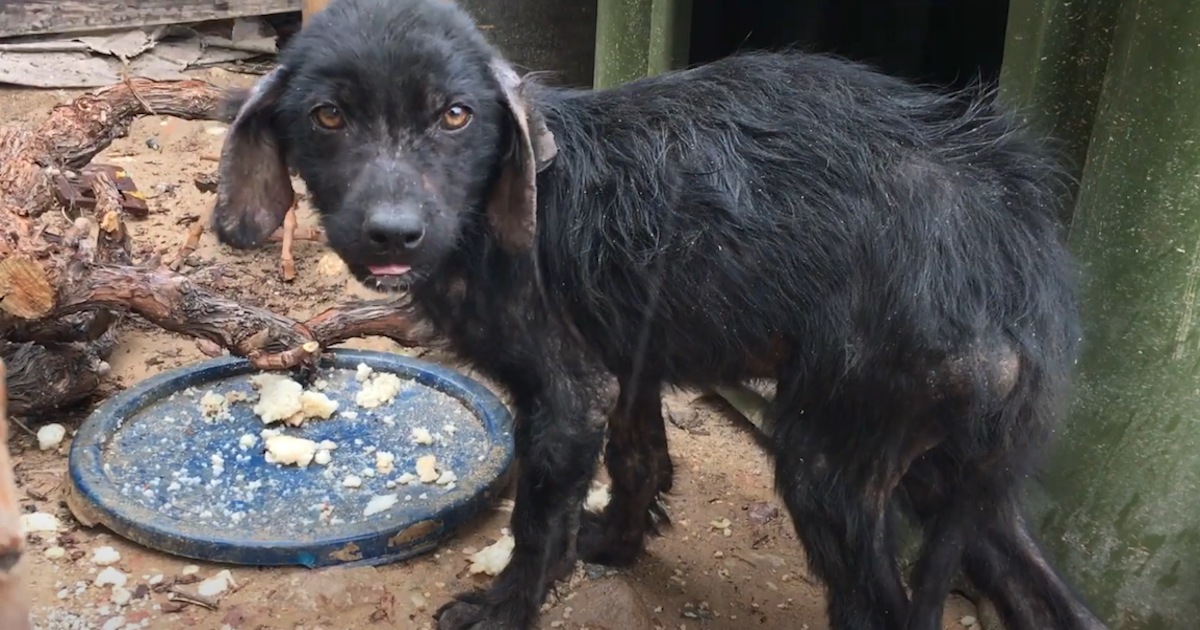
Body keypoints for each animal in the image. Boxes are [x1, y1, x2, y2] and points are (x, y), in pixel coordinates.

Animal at [211, 1, 1108, 628]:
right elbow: (639, 461)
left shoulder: (568, 395)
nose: (393, 234)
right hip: (955, 471)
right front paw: (608, 545)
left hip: (834, 458)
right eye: (328, 116)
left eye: (455, 115)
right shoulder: (627, 363)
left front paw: (506, 607)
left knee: (878, 607)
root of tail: (1016, 263)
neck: (494, 216)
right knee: (1050, 594)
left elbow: (535, 519)